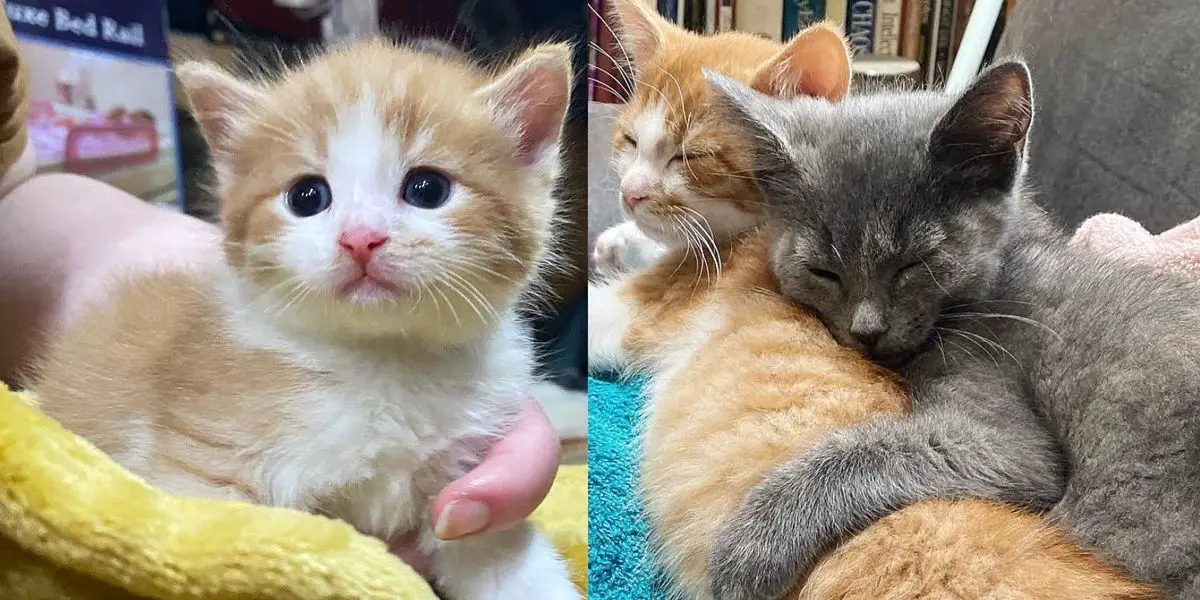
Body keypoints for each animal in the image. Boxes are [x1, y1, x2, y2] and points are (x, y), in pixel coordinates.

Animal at [35, 39, 578, 597]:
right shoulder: (194, 471)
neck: (385, 362)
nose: (360, 238)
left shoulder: (466, 482)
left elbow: (501, 554)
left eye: (428, 189)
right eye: (306, 196)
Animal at [700, 63, 1200, 600]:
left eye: (913, 264)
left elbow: (874, 451)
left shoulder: (1004, 428)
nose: (867, 329)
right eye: (823, 272)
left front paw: (749, 546)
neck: (1008, 263)